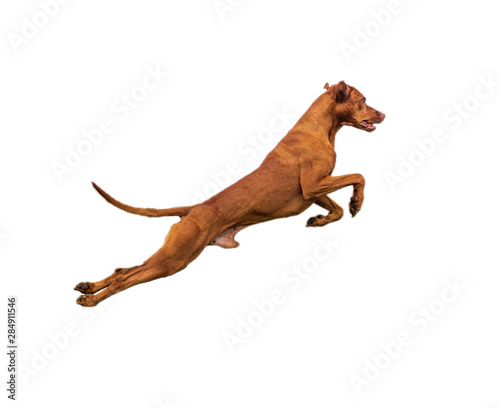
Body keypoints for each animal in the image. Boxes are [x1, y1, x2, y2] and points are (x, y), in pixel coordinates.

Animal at [74, 80, 386, 306]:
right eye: (363, 100)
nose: (384, 114)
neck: (320, 129)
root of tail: (193, 208)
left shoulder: (313, 193)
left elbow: (337, 210)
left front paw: (323, 219)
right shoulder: (314, 184)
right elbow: (359, 176)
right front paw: (357, 201)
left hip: (171, 253)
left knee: (123, 271)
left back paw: (88, 286)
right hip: (175, 258)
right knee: (125, 279)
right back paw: (91, 300)